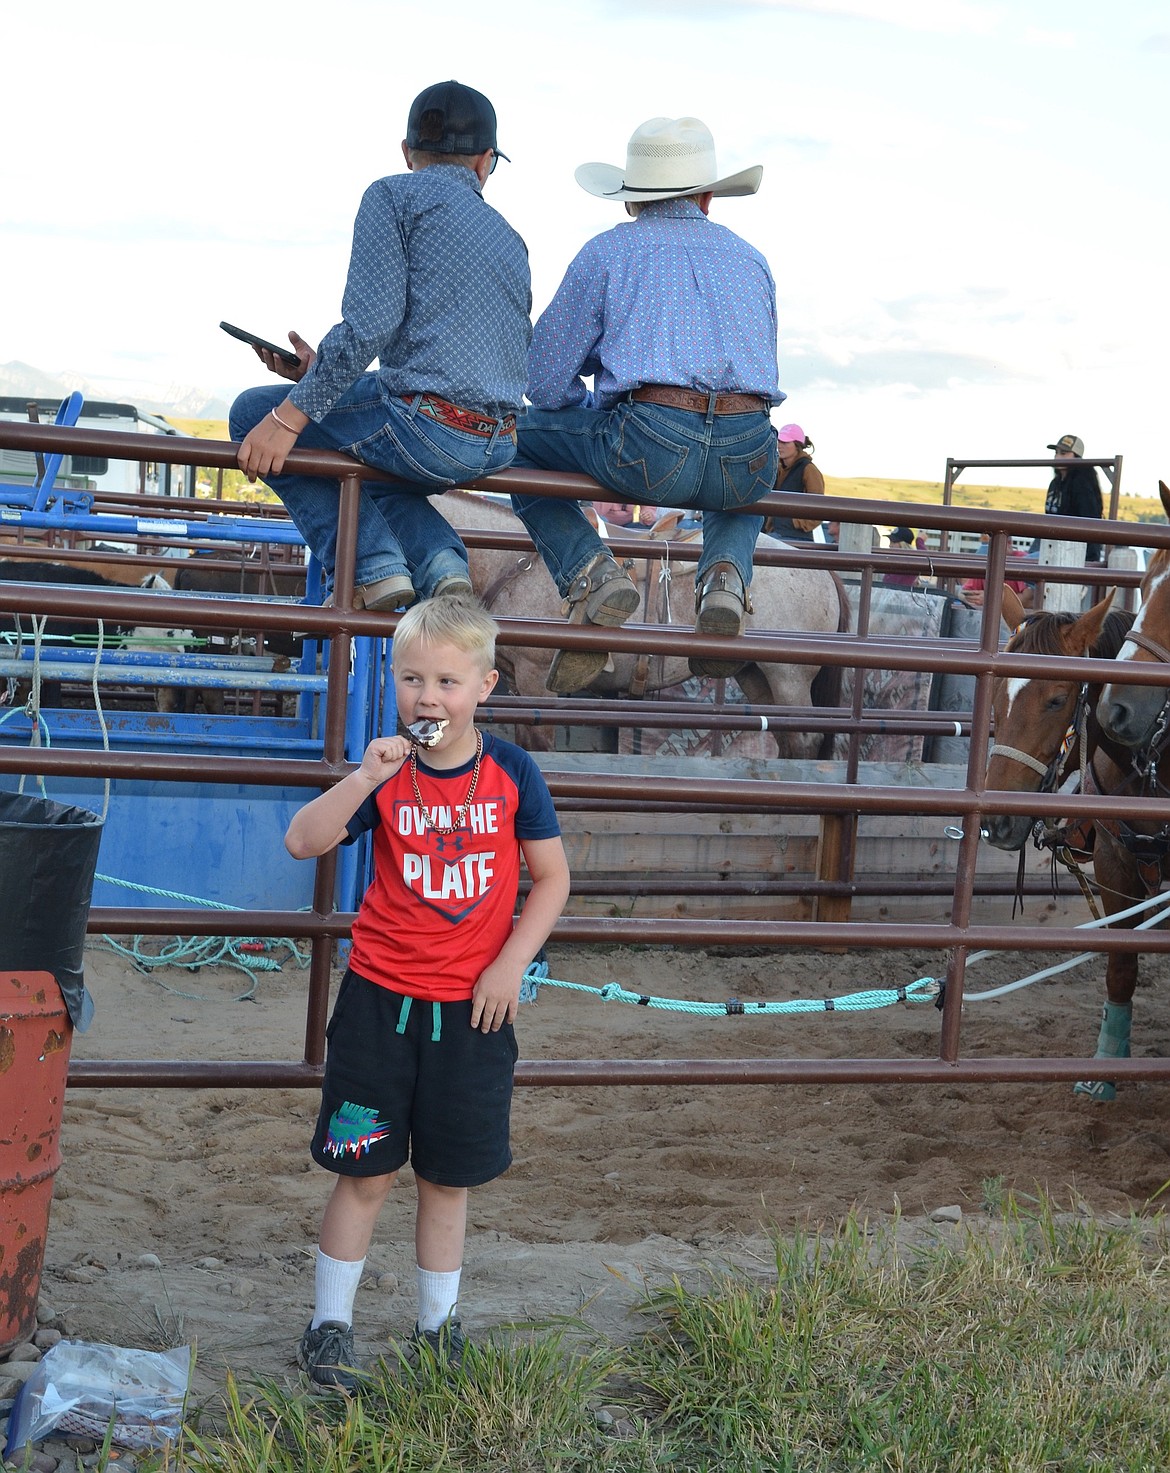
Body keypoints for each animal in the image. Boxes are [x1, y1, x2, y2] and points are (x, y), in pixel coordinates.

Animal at [436, 491, 836, 760]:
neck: (515, 562)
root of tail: (825, 574)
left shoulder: (537, 680)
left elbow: (540, 746)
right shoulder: (518, 682)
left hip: (789, 678)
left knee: (806, 740)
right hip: (756, 675)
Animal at [978, 580, 1155, 1101]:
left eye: (1058, 700)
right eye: (997, 692)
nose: (998, 822)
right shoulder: (1117, 864)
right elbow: (1121, 966)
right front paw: (1106, 1068)